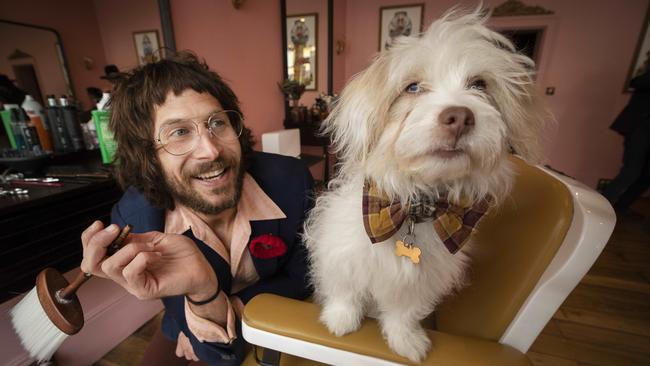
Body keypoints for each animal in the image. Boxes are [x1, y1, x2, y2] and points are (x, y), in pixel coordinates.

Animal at [304, 8, 548, 364]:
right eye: (413, 87)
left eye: (479, 84)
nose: (459, 116)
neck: (415, 205)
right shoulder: (341, 252)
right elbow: (345, 290)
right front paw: (340, 319)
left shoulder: (420, 281)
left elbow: (402, 313)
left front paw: (406, 340)